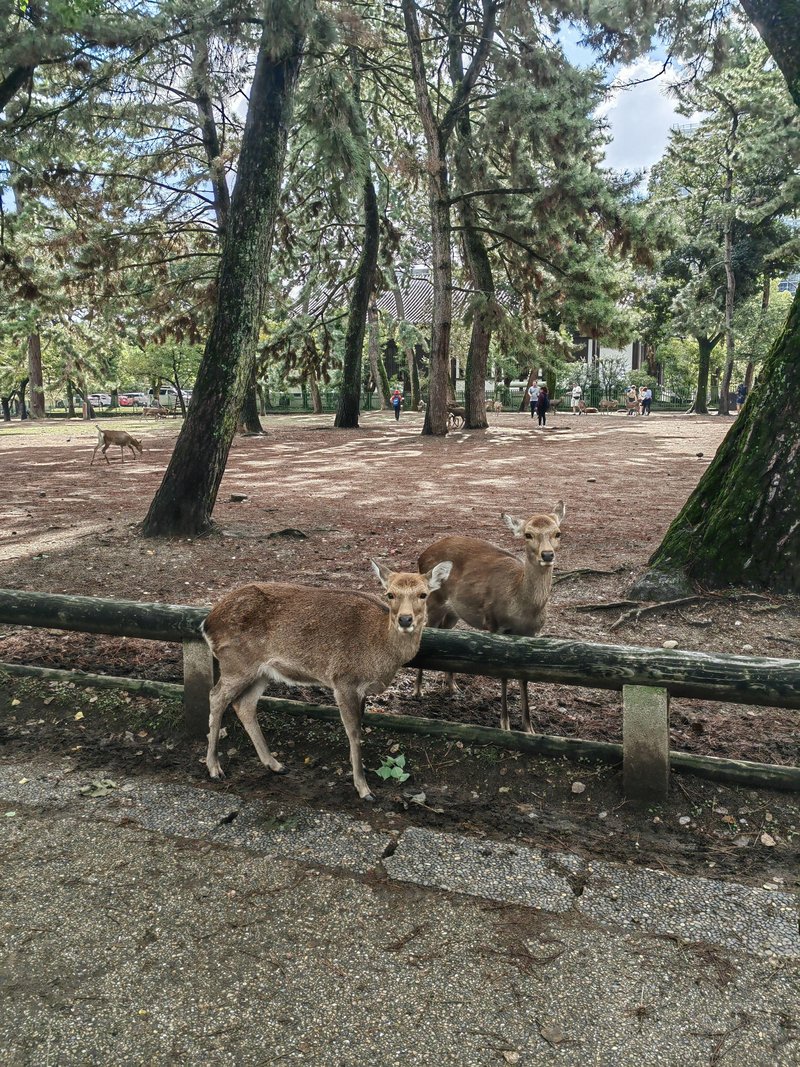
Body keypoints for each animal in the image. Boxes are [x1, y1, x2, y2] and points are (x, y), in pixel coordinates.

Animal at [200, 559, 452, 802]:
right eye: (390, 594)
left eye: (423, 594)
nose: (405, 619)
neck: (379, 650)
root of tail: (207, 623)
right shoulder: (344, 680)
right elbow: (354, 731)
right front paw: (364, 789)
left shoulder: (362, 689)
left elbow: (360, 725)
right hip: (236, 663)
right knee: (216, 696)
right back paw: (214, 768)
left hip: (261, 672)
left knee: (244, 704)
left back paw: (275, 765)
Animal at [416, 501, 567, 734]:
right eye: (528, 534)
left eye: (557, 533)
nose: (547, 555)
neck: (520, 608)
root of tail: (421, 556)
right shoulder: (495, 625)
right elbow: (503, 674)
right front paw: (504, 724)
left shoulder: (531, 634)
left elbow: (524, 677)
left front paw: (529, 727)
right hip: (433, 601)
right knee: (426, 630)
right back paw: (418, 691)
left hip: (453, 612)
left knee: (445, 635)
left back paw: (452, 687)